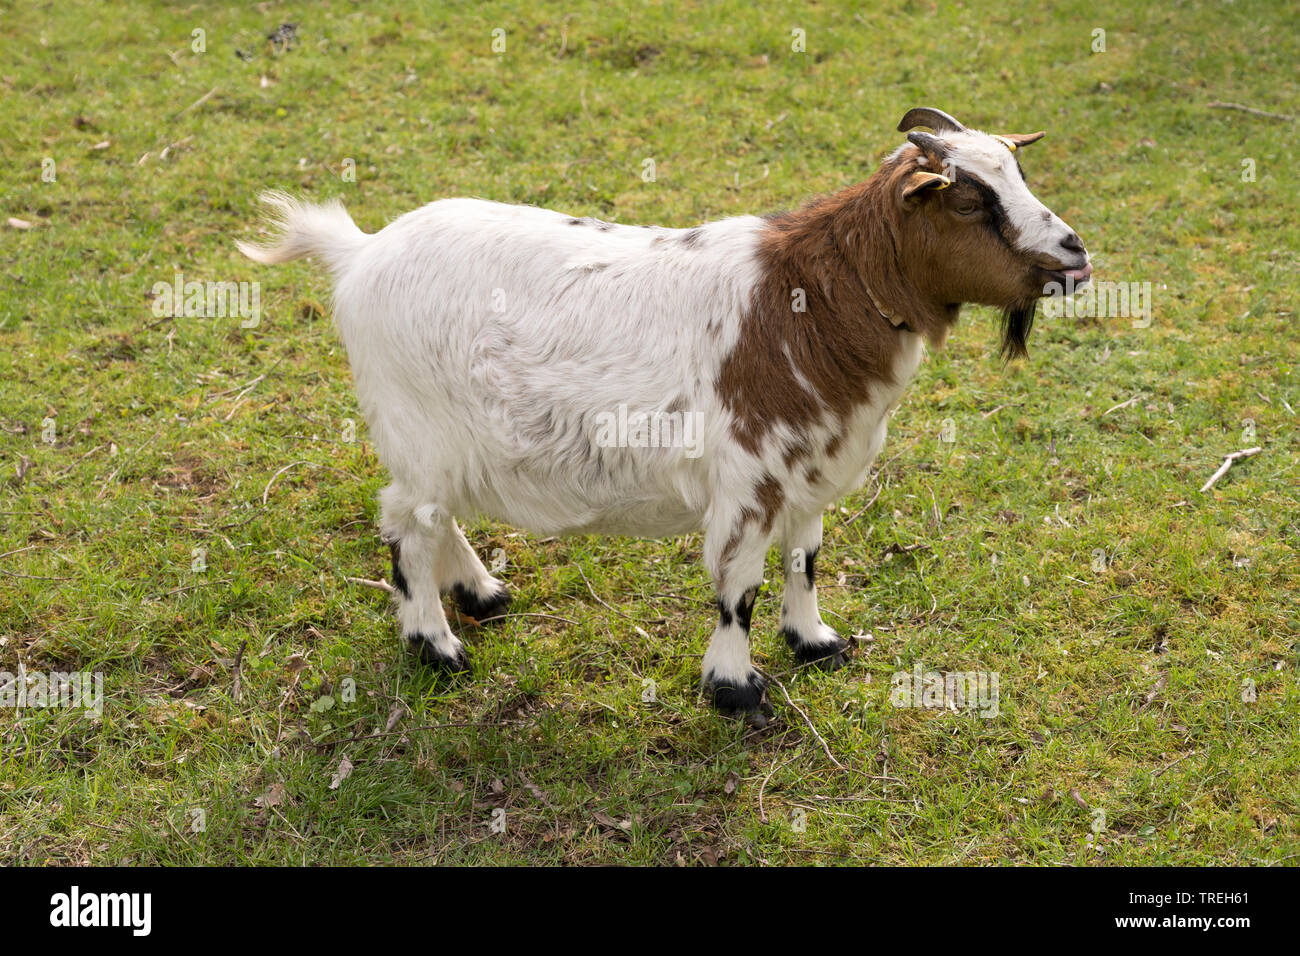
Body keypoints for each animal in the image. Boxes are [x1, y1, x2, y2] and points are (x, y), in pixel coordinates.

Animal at [238, 107, 1091, 724]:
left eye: (1018, 170)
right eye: (973, 200)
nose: (1076, 253)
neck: (810, 301)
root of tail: (359, 253)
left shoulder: (809, 469)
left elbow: (805, 559)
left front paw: (814, 641)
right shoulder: (750, 477)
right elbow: (739, 585)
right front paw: (736, 689)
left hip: (446, 442)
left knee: (435, 516)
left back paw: (482, 593)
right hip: (416, 427)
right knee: (406, 528)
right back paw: (437, 647)